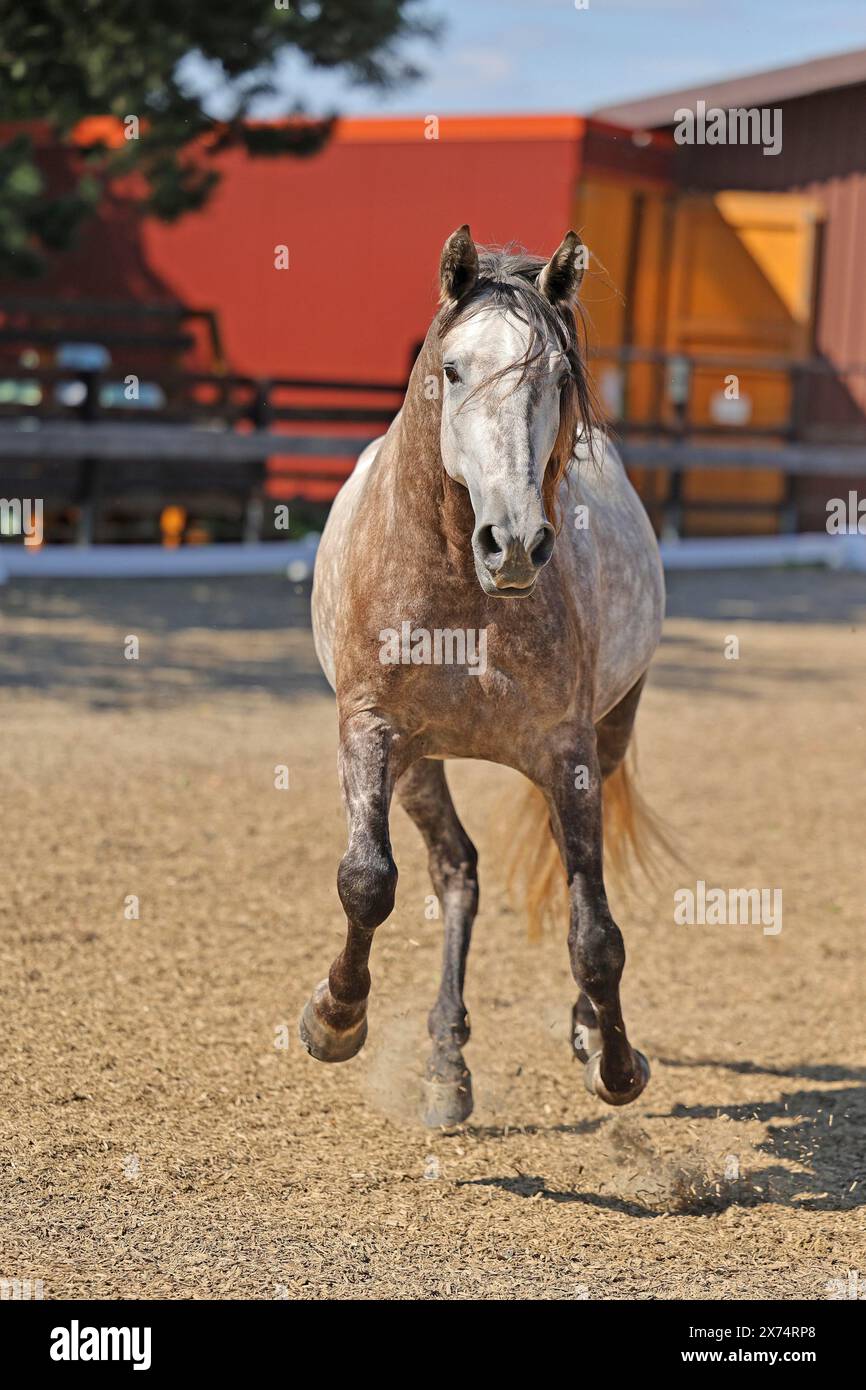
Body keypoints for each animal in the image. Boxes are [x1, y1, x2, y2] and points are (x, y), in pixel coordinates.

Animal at [301, 225, 667, 1128]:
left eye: (559, 376)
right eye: (454, 368)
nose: (514, 544)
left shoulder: (568, 753)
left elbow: (595, 934)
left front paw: (615, 1063)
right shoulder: (370, 729)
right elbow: (368, 881)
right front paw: (333, 1020)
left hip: (608, 735)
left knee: (557, 882)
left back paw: (563, 1037)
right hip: (419, 761)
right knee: (454, 872)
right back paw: (444, 1065)